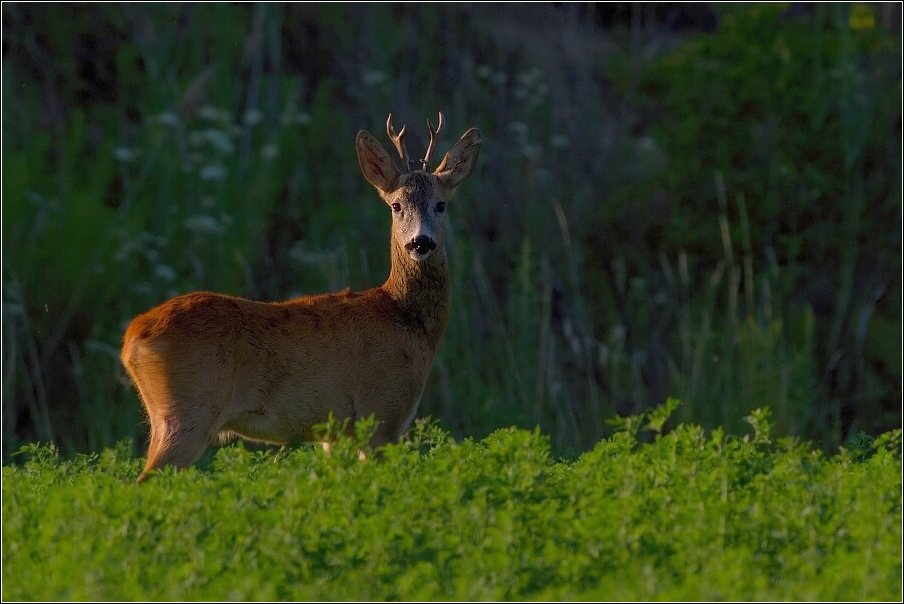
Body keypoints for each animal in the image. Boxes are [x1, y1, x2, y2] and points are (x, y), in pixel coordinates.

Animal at [125, 112, 488, 482]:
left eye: (441, 205)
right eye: (396, 205)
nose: (420, 242)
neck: (407, 318)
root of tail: (132, 338)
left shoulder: (336, 432)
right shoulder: (383, 413)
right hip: (190, 412)